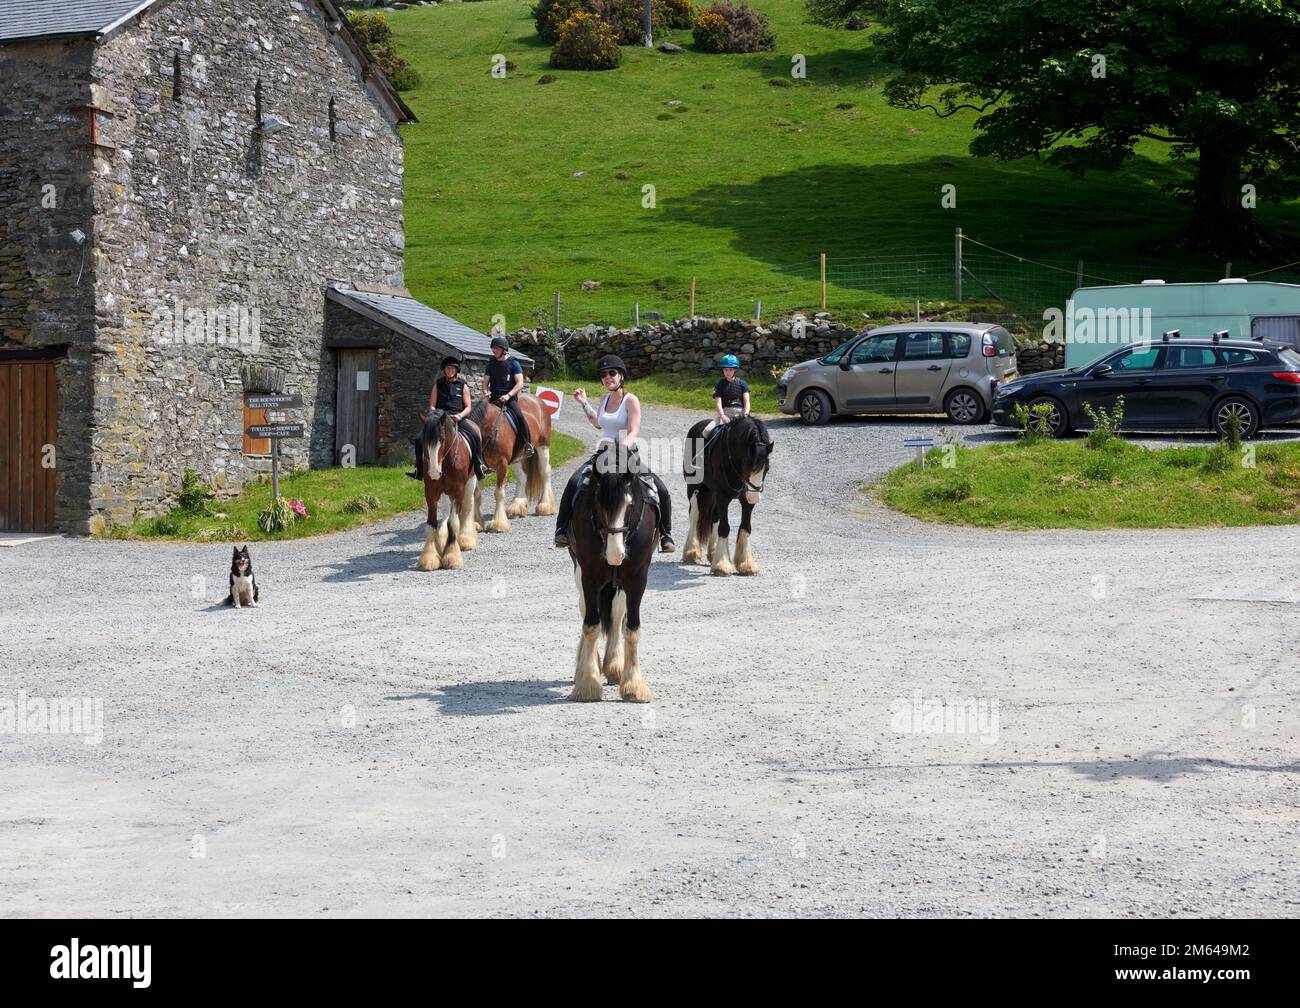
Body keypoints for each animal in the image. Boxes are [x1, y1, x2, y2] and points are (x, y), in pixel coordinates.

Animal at [415, 409, 479, 571]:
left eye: (442, 439)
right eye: (423, 442)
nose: (433, 472)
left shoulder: (458, 491)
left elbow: (453, 522)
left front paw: (452, 557)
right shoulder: (431, 493)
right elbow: (432, 523)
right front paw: (430, 557)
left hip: (471, 481)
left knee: (467, 507)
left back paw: (466, 539)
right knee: (445, 511)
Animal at [467, 392, 556, 533]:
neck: (490, 429)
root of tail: (538, 401)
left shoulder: (502, 464)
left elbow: (499, 493)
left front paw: (498, 524)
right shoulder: (477, 470)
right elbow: (476, 495)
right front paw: (476, 523)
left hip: (543, 447)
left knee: (545, 472)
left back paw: (545, 506)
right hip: (517, 457)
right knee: (522, 477)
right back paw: (517, 507)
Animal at [567, 440, 657, 702]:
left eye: (630, 504)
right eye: (598, 503)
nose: (615, 555)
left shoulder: (637, 578)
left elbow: (631, 628)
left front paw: (634, 685)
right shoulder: (588, 575)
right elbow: (591, 625)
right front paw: (588, 683)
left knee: (616, 615)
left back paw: (614, 666)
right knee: (587, 610)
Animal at [680, 416, 774, 576]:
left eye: (766, 468)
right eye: (749, 466)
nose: (754, 498)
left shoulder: (744, 501)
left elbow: (745, 527)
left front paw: (746, 564)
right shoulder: (723, 497)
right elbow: (724, 528)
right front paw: (722, 565)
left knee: (714, 518)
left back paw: (712, 554)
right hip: (694, 488)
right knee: (694, 516)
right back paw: (691, 552)